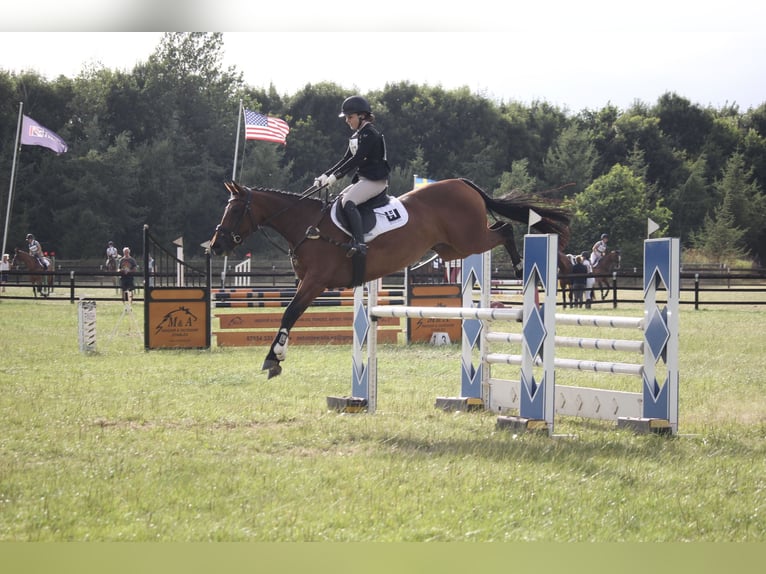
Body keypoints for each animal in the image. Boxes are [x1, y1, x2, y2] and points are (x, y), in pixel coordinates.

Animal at [210, 178, 568, 380]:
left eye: (235, 211)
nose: (216, 246)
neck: (306, 225)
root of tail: (462, 183)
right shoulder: (306, 282)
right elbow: (288, 312)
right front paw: (275, 357)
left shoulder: (315, 282)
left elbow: (290, 313)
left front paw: (274, 358)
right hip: (451, 248)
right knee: (498, 231)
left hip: (470, 240)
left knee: (504, 229)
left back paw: (522, 269)